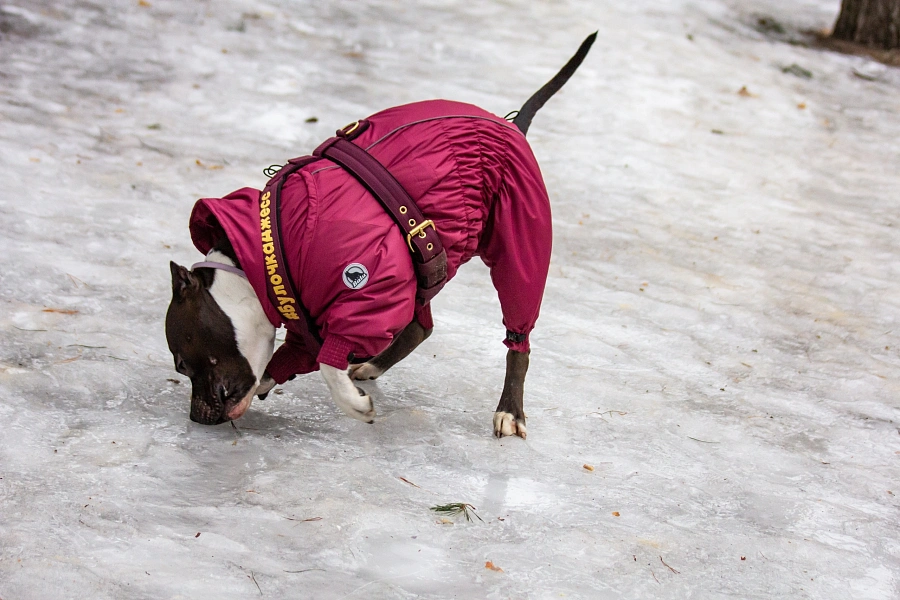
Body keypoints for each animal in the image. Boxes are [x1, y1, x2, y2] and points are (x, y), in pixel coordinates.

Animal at [165, 32, 596, 438]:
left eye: (183, 364)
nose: (196, 417)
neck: (264, 260)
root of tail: (511, 123)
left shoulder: (370, 290)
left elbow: (329, 363)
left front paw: (354, 405)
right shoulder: (321, 313)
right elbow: (296, 356)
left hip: (520, 241)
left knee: (517, 340)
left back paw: (510, 411)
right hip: (429, 268)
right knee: (421, 326)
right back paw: (372, 366)